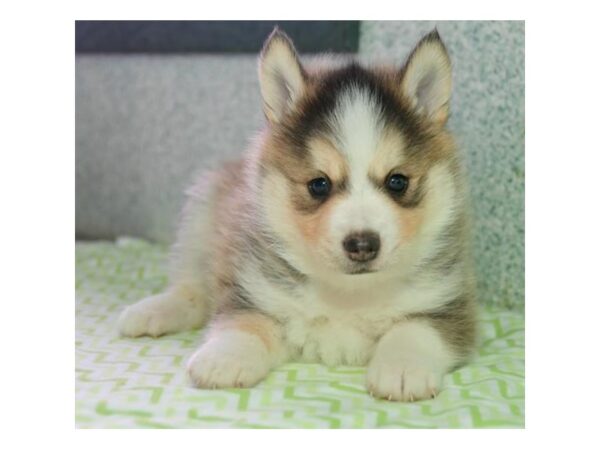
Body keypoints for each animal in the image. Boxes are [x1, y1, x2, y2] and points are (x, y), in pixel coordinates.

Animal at [118, 28, 478, 400]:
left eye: (398, 181)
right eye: (319, 184)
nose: (363, 245)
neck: (348, 295)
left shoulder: (449, 305)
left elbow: (415, 330)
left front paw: (403, 368)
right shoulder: (254, 293)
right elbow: (243, 325)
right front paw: (223, 359)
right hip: (201, 220)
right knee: (191, 288)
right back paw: (151, 312)